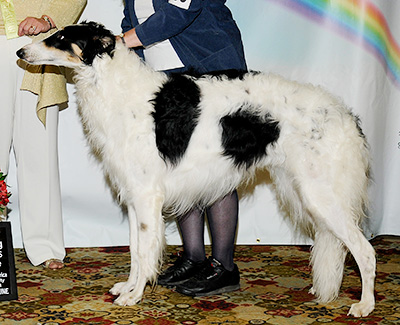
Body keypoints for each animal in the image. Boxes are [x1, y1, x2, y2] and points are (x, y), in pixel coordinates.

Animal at [18, 21, 376, 316]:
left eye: (60, 38)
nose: (21, 51)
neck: (115, 85)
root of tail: (346, 116)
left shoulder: (147, 196)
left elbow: (145, 252)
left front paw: (134, 296)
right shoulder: (135, 197)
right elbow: (134, 250)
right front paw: (128, 286)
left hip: (321, 194)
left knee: (366, 251)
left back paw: (365, 306)